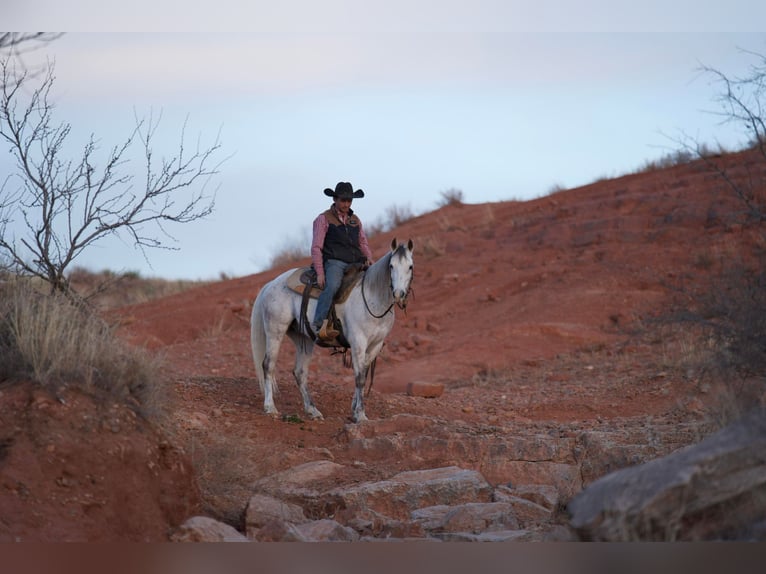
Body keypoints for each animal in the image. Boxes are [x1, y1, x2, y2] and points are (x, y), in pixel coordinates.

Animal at [252, 238, 414, 424]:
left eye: (410, 266)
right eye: (391, 266)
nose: (398, 293)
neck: (372, 298)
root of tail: (271, 284)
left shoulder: (375, 345)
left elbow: (364, 375)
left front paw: (355, 411)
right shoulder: (358, 342)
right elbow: (359, 378)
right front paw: (361, 415)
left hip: (303, 339)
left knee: (299, 372)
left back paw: (313, 410)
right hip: (275, 331)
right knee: (268, 365)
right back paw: (270, 407)